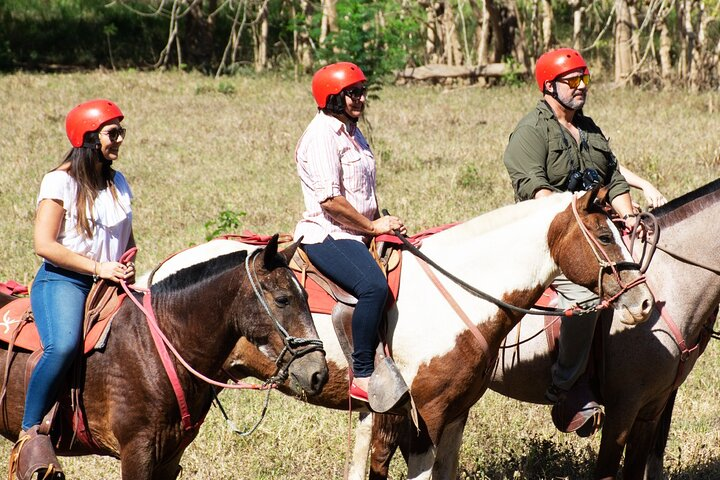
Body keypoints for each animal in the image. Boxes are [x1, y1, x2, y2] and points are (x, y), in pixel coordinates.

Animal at [0, 234, 330, 478]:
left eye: (308, 296)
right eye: (283, 299)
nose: (318, 373)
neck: (158, 346)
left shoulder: (170, 457)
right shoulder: (137, 452)